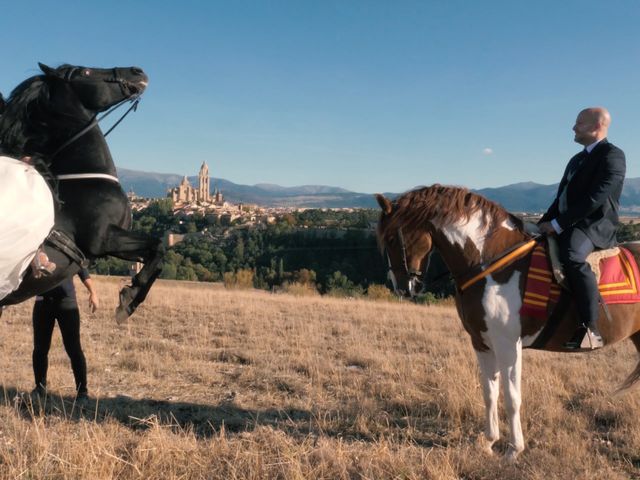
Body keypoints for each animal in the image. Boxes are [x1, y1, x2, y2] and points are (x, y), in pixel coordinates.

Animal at [0, 62, 164, 320]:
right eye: (85, 72)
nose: (137, 71)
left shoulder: (111, 245)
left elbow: (155, 250)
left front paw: (130, 295)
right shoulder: (102, 239)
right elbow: (157, 246)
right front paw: (128, 300)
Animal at [372, 185, 640, 462]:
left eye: (392, 238)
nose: (402, 288)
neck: (490, 263)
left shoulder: (508, 345)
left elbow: (512, 398)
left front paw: (513, 450)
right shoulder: (481, 342)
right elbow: (489, 392)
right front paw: (489, 442)